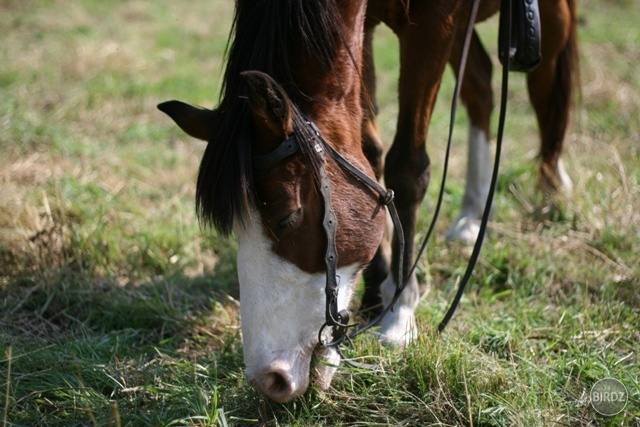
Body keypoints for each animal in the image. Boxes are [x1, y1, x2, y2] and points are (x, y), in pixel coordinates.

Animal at [159, 0, 580, 402]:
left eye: (287, 218)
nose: (269, 379)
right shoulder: (364, 29)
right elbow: (370, 154)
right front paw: (378, 290)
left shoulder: (434, 21)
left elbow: (406, 167)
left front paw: (400, 311)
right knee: (480, 86)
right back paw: (472, 213)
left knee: (547, 78)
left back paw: (553, 186)